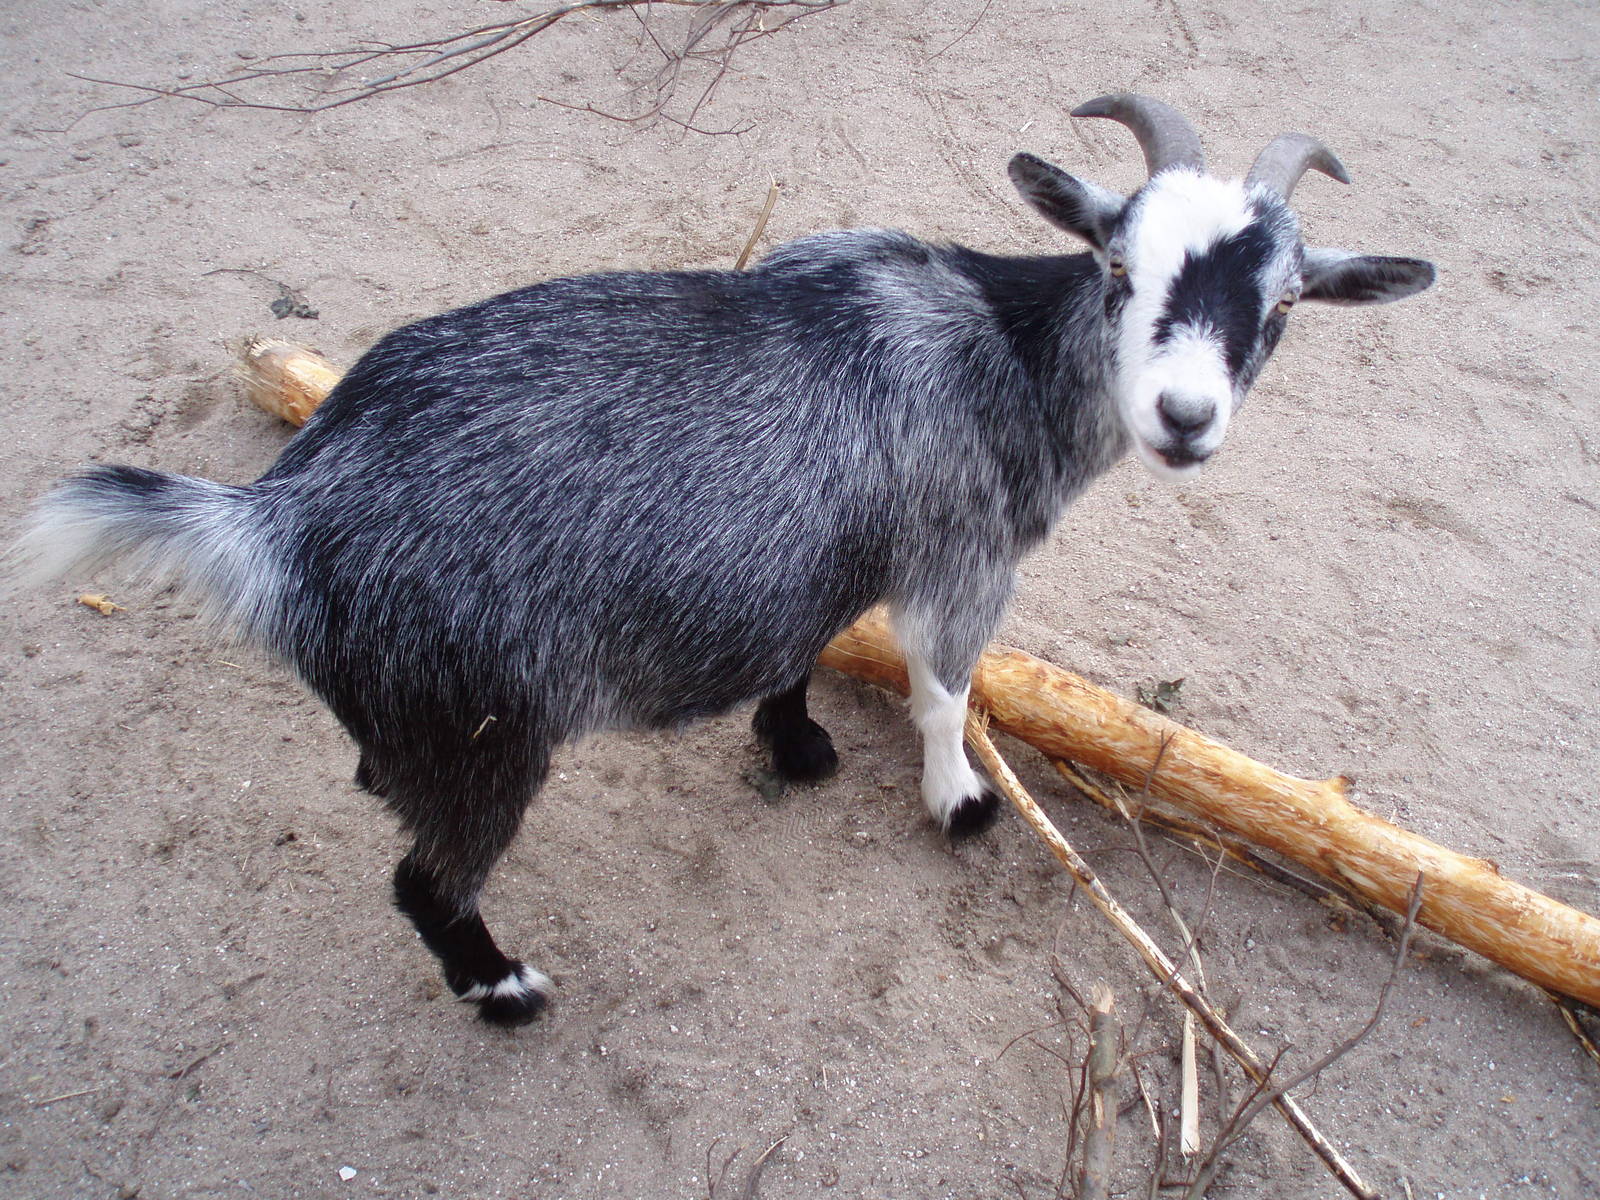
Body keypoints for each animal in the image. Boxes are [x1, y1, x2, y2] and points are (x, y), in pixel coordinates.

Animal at [14, 95, 1434, 1024]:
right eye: (1118, 265)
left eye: (1285, 302)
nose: (1185, 418)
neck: (1001, 343)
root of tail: (283, 517)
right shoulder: (962, 559)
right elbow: (943, 692)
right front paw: (958, 802)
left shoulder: (811, 553)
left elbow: (799, 644)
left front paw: (795, 745)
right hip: (487, 731)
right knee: (426, 881)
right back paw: (504, 988)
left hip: (421, 712)